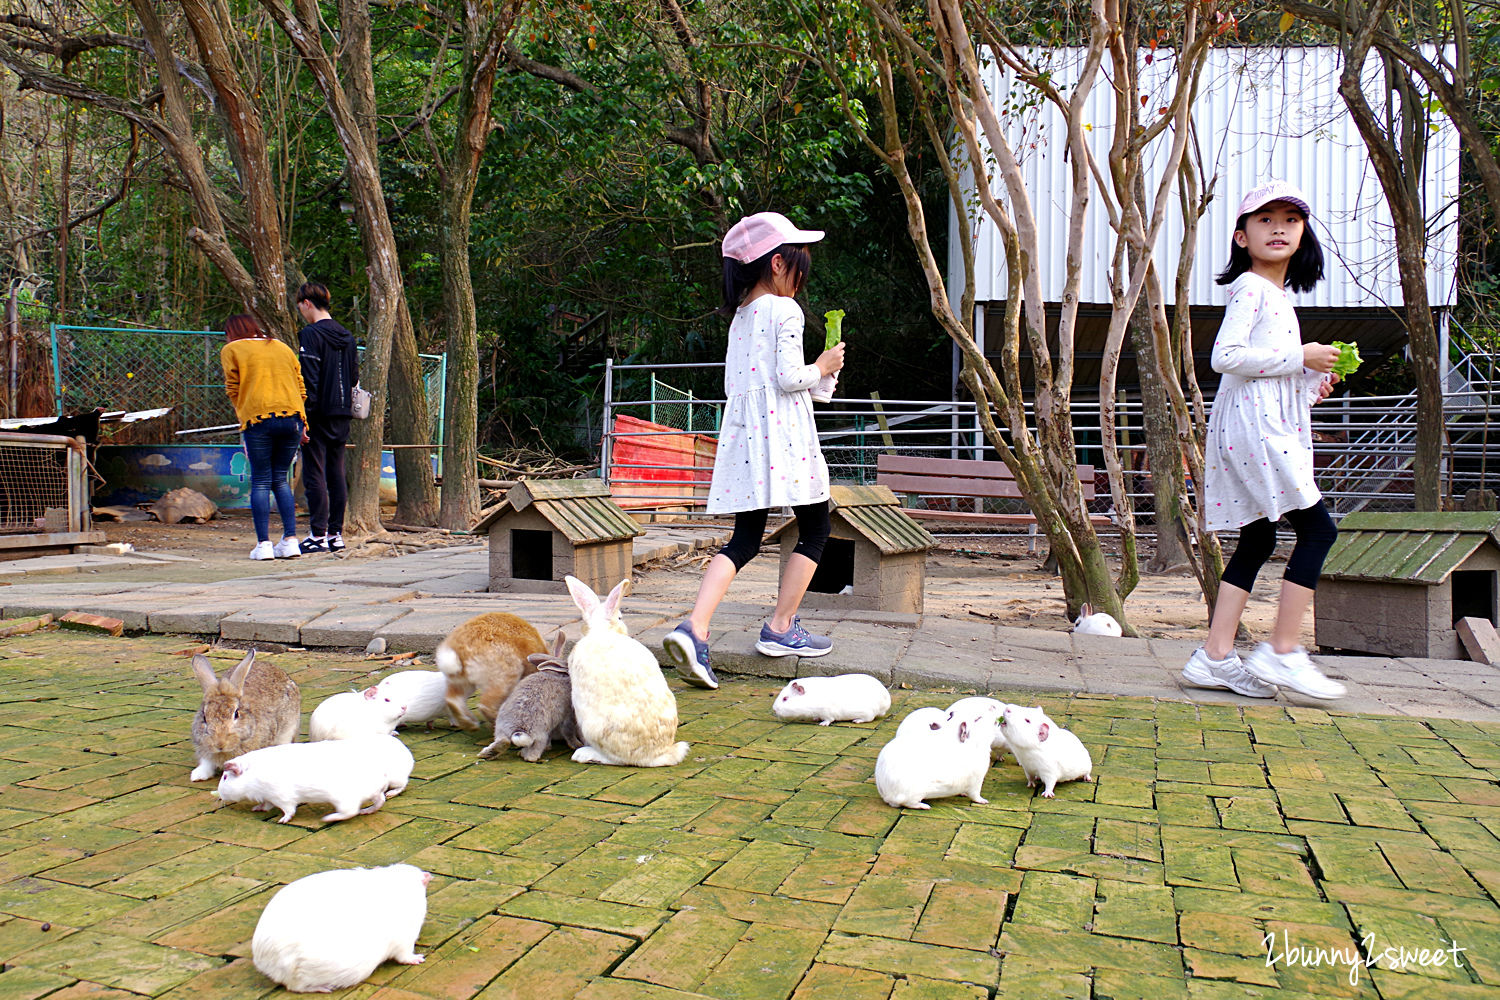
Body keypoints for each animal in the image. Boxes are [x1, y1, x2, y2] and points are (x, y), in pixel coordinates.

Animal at [189, 650, 300, 779]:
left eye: (236, 714)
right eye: (204, 717)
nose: (220, 744)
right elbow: (206, 763)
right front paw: (197, 776)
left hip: (288, 729)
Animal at [211, 731, 411, 827]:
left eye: (225, 777)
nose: (219, 794)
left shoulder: (282, 797)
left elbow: (288, 810)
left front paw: (282, 821)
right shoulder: (268, 797)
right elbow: (265, 805)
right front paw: (256, 809)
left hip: (344, 800)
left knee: (350, 812)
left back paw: (327, 818)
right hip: (374, 794)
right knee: (379, 802)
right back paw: (367, 811)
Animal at [477, 629, 582, 761]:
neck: (557, 673)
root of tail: (518, 729)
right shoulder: (568, 716)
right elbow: (568, 732)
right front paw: (577, 745)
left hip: (500, 728)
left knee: (503, 742)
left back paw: (486, 754)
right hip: (541, 734)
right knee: (533, 753)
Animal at [564, 575, 687, 773]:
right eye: (620, 617)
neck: (603, 632)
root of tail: (654, 756)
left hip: (593, 728)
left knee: (617, 760)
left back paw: (584, 754)